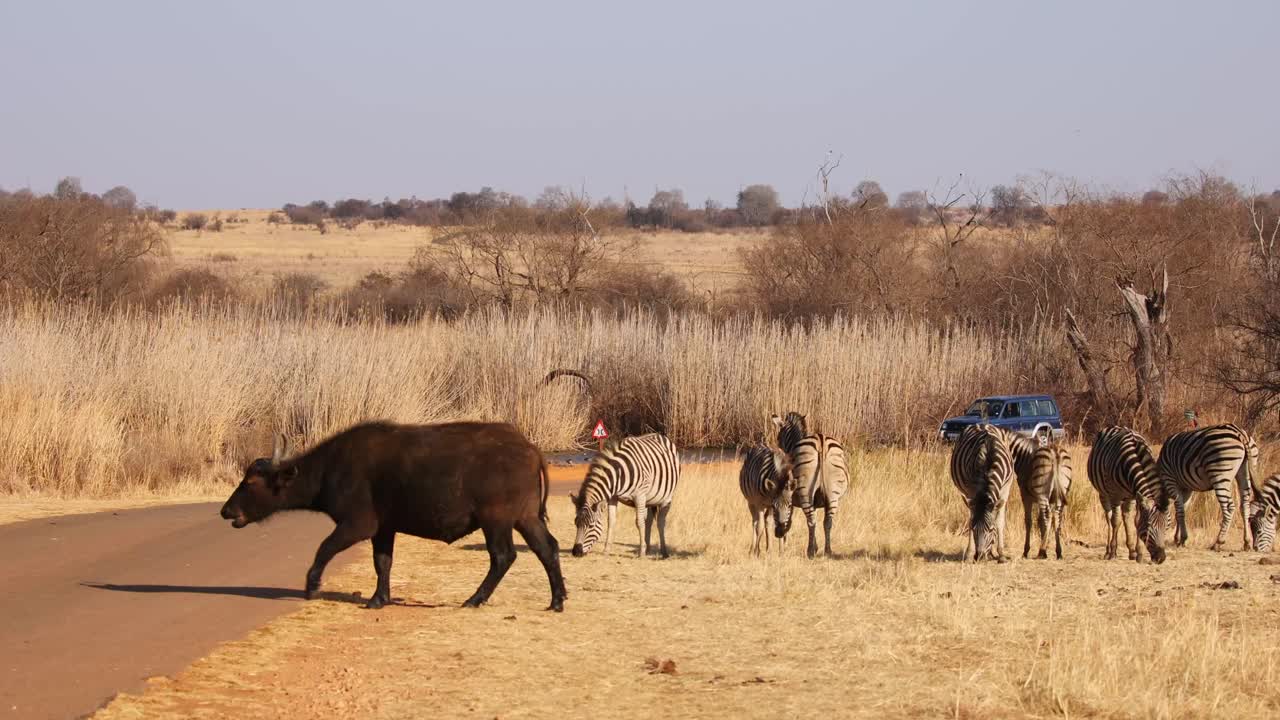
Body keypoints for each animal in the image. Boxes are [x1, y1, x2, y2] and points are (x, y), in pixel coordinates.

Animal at [219, 421, 566, 611]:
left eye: (250, 482)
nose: (226, 510)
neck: (332, 468)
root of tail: (529, 447)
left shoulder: (358, 525)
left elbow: (324, 548)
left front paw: (312, 586)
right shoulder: (384, 529)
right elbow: (382, 562)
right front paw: (378, 598)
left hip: (496, 521)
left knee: (503, 556)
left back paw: (474, 599)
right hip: (526, 518)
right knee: (547, 548)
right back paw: (557, 600)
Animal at [770, 412, 849, 558]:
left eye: (778, 437)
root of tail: (820, 441)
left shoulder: (787, 499)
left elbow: (787, 521)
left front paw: (783, 547)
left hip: (805, 491)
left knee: (811, 521)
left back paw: (810, 551)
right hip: (833, 494)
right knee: (827, 522)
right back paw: (828, 551)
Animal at [949, 423, 1016, 562]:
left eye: (991, 530)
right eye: (974, 530)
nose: (979, 556)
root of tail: (981, 424)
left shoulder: (1005, 491)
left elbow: (1000, 521)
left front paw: (1001, 554)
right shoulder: (972, 490)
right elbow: (971, 520)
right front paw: (970, 554)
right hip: (966, 492)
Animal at [1086, 426, 1167, 563]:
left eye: (1166, 525)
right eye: (1149, 526)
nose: (1161, 558)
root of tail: (1115, 426)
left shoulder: (1135, 495)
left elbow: (1136, 520)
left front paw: (1139, 553)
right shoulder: (1115, 495)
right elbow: (1115, 521)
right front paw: (1113, 552)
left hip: (1128, 497)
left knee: (1126, 516)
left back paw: (1131, 551)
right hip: (1103, 493)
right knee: (1109, 517)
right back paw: (1108, 551)